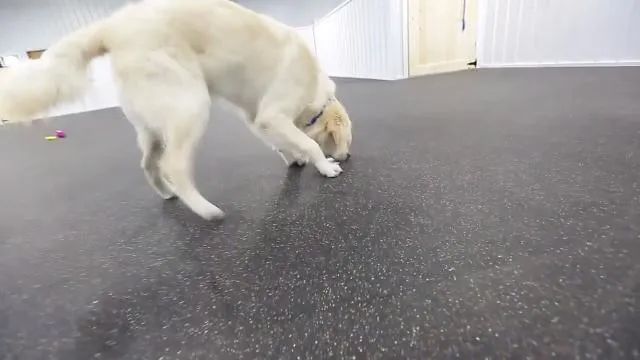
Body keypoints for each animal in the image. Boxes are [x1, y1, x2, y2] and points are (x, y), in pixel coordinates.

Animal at [0, 0, 356, 219]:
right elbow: (307, 142)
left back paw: (168, 194)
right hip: (191, 106)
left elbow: (282, 142)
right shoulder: (273, 114)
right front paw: (325, 166)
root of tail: (112, 26)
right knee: (174, 165)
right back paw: (205, 209)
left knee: (148, 164)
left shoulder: (257, 118)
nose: (348, 155)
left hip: (153, 125)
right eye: (345, 141)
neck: (314, 93)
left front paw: (294, 158)